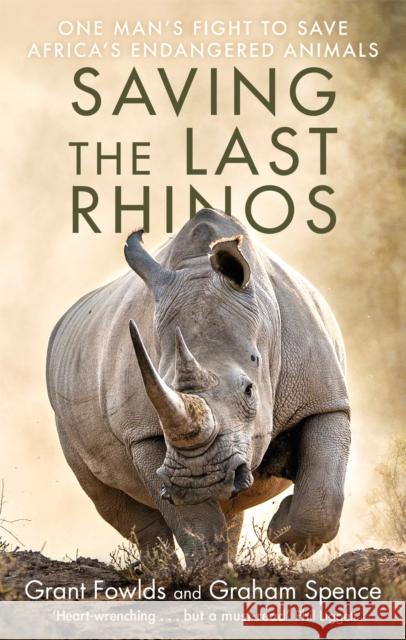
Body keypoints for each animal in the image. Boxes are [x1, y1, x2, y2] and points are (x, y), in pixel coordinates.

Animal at [46, 208, 350, 563]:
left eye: (249, 390)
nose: (199, 480)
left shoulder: (324, 399)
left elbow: (322, 495)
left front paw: (284, 533)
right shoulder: (143, 434)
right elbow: (196, 522)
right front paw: (209, 572)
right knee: (111, 501)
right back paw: (164, 571)